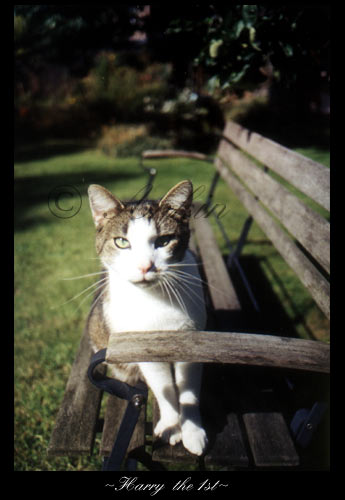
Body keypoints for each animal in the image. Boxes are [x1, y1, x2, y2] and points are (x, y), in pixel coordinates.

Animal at [86, 181, 207, 458]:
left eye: (163, 241)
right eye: (121, 242)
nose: (145, 267)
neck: (156, 298)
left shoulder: (192, 341)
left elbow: (188, 390)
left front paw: (193, 432)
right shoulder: (142, 348)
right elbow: (164, 387)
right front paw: (172, 425)